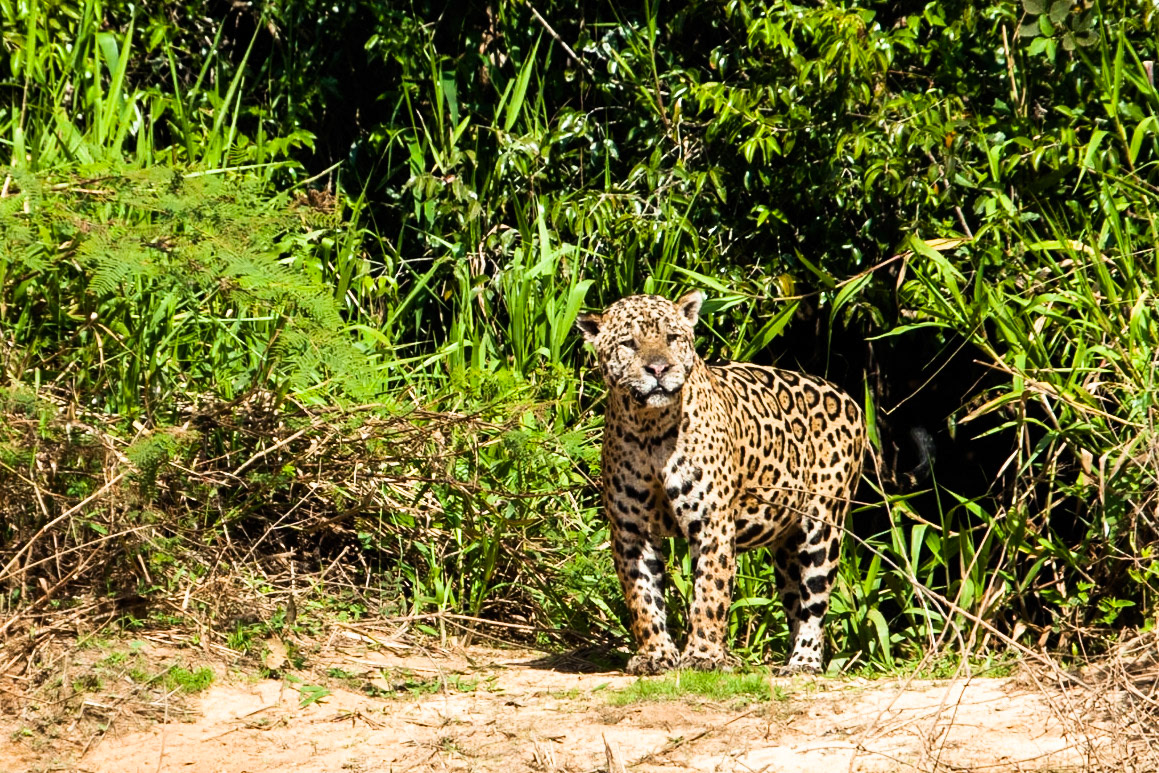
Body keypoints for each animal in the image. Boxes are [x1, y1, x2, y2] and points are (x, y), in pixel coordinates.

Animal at [575, 290, 866, 675]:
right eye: (629, 344)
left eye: (672, 338)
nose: (658, 369)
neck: (649, 428)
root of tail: (846, 396)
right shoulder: (631, 529)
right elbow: (642, 596)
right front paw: (655, 654)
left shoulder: (711, 521)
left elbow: (709, 593)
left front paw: (703, 655)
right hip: (786, 546)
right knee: (794, 600)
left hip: (823, 525)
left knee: (815, 601)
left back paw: (803, 662)